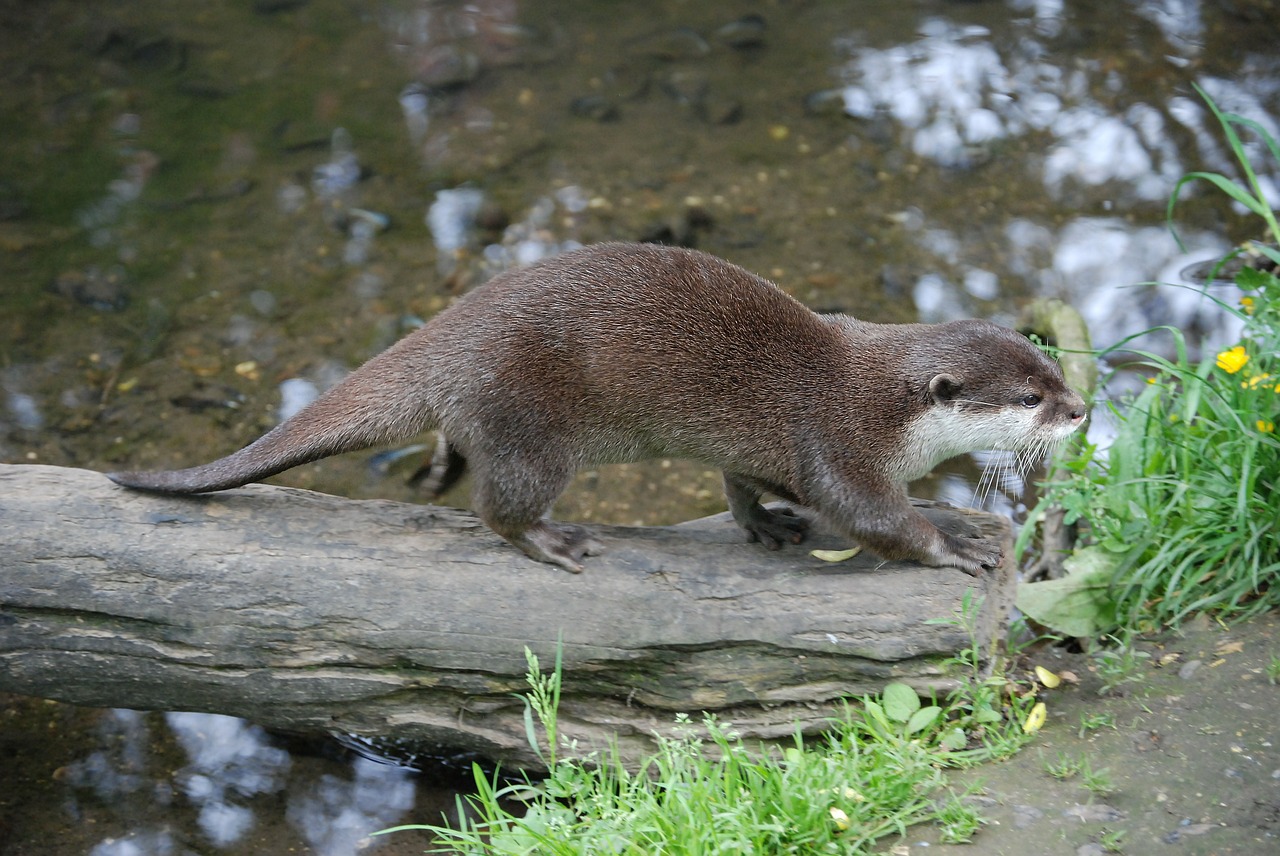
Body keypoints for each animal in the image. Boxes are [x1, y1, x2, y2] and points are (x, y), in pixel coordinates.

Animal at [110, 240, 1085, 573]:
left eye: (1052, 365)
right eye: (1030, 398)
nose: (1081, 412)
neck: (884, 403)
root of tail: (452, 333)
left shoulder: (762, 447)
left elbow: (743, 481)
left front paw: (762, 525)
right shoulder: (837, 441)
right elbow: (871, 516)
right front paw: (949, 538)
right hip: (529, 426)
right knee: (498, 505)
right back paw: (551, 542)